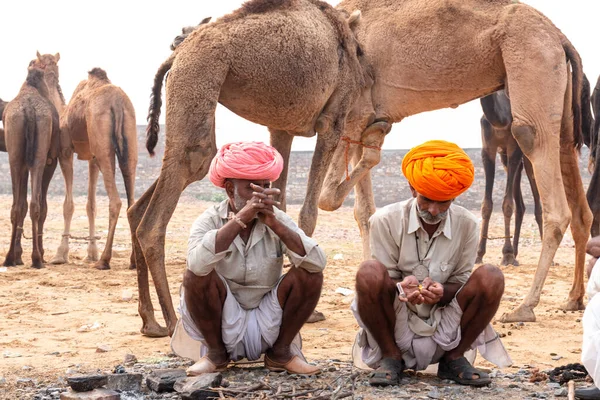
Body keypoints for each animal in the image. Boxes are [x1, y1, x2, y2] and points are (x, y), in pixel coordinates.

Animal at [2, 60, 61, 268]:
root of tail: (28, 110)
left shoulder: (23, 163)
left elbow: (22, 203)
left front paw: (18, 255)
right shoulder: (51, 160)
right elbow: (42, 206)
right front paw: (40, 254)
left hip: (15, 153)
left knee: (16, 207)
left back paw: (9, 258)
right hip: (40, 158)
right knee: (36, 204)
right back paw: (37, 258)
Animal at [49, 67, 138, 270]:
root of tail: (117, 102)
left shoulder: (65, 151)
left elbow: (68, 205)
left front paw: (60, 255)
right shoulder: (92, 158)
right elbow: (91, 205)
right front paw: (90, 254)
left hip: (103, 144)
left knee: (115, 201)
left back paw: (104, 260)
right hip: (130, 142)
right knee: (131, 200)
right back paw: (133, 261)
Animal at [127, 0, 370, 338]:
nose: (177, 37)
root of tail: (178, 55)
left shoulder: (281, 127)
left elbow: (279, 198)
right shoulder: (332, 120)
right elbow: (308, 213)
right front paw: (311, 312)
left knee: (158, 192)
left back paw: (150, 322)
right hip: (198, 77)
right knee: (159, 213)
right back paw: (174, 322)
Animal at [316, 0, 592, 324]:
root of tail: (560, 38)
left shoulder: (355, 108)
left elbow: (328, 198)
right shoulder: (362, 114)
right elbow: (363, 210)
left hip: (532, 61)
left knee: (539, 161)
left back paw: (525, 306)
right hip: (559, 91)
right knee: (575, 186)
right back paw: (573, 298)